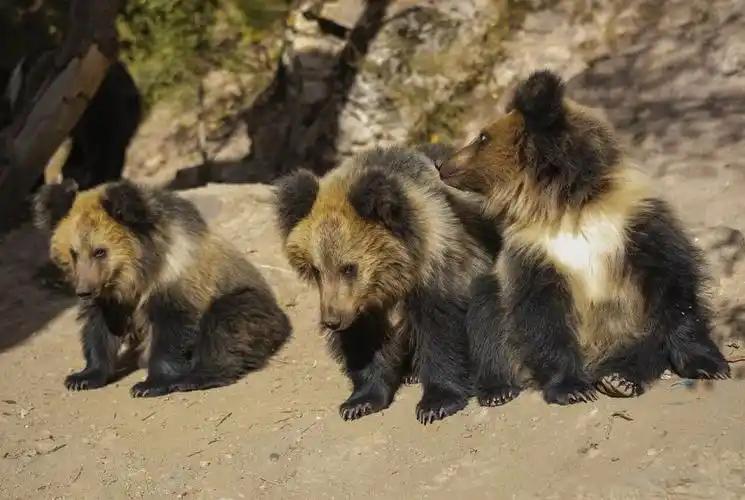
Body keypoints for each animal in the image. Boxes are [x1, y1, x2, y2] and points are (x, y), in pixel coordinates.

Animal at [33, 179, 291, 397]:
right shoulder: (111, 298)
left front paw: (149, 384)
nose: (84, 291)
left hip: (248, 302)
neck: (138, 273)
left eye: (100, 251)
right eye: (73, 252)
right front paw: (82, 377)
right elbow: (100, 329)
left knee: (227, 325)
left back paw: (197, 377)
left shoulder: (177, 282)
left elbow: (172, 330)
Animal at [275, 145, 497, 424]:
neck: (394, 280)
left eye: (348, 267)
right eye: (316, 269)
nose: (332, 321)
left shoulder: (439, 269)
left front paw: (436, 403)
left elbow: (441, 330)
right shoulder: (361, 308)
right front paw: (359, 402)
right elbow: (365, 345)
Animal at [439, 70, 729, 406]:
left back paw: (620, 378)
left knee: (644, 344)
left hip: (627, 326)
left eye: (482, 137)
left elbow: (673, 286)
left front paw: (708, 364)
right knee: (487, 313)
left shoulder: (634, 223)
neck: (567, 204)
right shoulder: (534, 250)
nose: (442, 164)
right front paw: (571, 387)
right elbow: (541, 312)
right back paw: (497, 388)